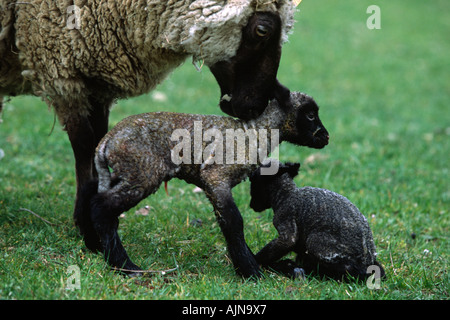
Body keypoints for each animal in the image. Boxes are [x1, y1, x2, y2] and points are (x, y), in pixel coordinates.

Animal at [0, 0, 298, 255]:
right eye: (262, 30)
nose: (256, 107)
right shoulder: (63, 69)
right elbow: (85, 149)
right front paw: (90, 232)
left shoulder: (94, 80)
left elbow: (98, 142)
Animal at [248, 161, 384, 282]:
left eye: (253, 183)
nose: (251, 205)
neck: (286, 195)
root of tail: (367, 261)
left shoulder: (285, 222)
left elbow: (286, 242)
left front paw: (258, 260)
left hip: (316, 242)